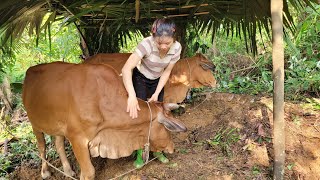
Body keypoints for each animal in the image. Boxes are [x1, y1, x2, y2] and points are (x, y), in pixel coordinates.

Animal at [22, 62, 186, 180]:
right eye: (167, 127)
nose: (172, 148)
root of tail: (29, 71)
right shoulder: (77, 138)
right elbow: (89, 172)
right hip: (34, 123)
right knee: (42, 146)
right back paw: (45, 171)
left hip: (58, 126)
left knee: (59, 144)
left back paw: (68, 170)